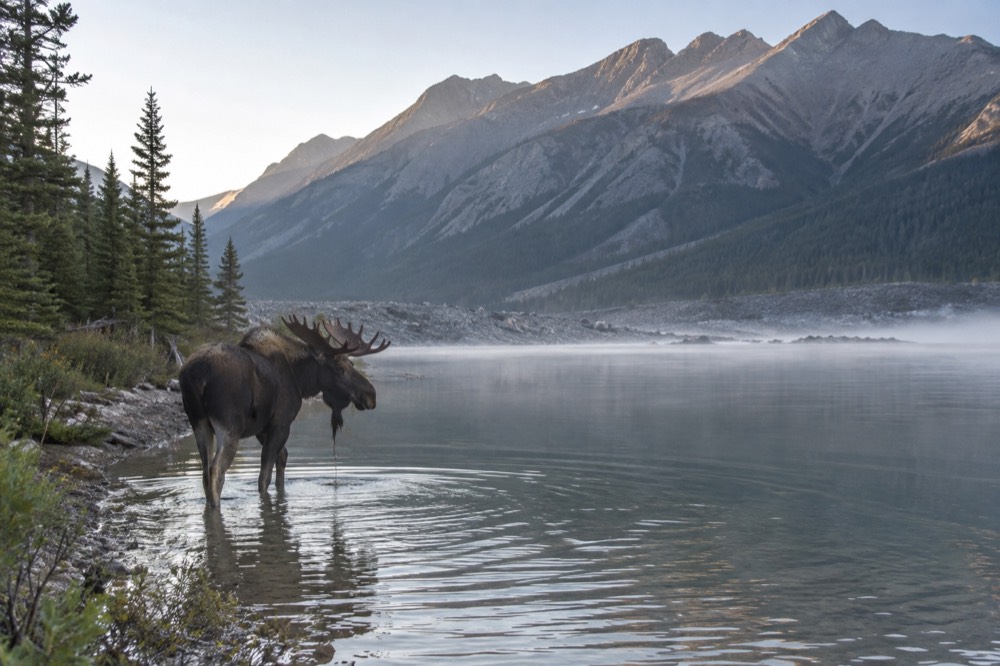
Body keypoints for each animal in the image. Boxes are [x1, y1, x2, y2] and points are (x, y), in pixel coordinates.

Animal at [178, 316, 390, 508]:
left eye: (351, 364)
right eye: (339, 368)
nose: (370, 394)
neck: (301, 380)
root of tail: (198, 375)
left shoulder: (262, 428)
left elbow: (282, 457)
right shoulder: (281, 423)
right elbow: (264, 477)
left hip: (199, 423)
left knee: (205, 472)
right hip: (230, 426)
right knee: (216, 471)